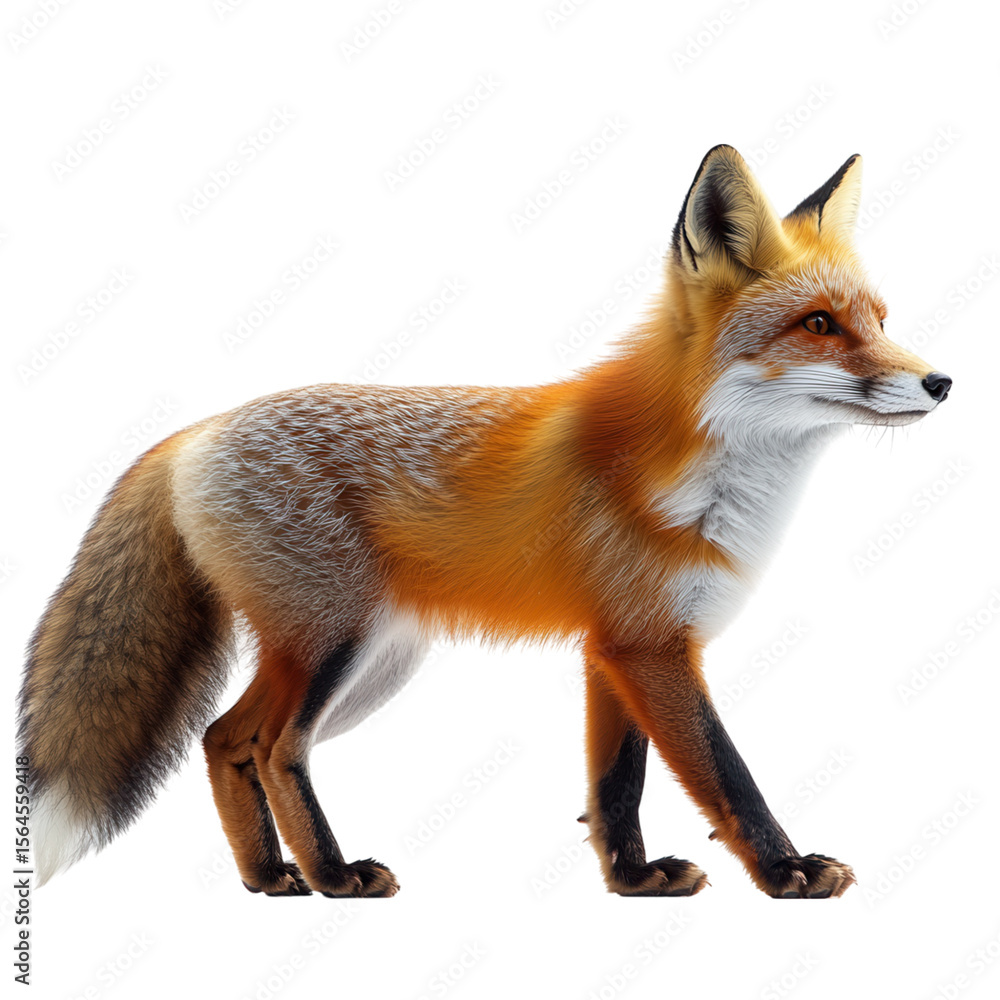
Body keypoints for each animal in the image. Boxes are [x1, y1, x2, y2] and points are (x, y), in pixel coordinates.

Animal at [18, 144, 952, 900]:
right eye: (819, 325)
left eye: (879, 321)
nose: (942, 382)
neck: (704, 471)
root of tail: (197, 431)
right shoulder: (651, 648)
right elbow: (727, 773)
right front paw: (786, 871)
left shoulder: (615, 646)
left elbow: (615, 785)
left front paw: (633, 880)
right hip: (332, 643)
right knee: (276, 747)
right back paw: (332, 876)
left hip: (371, 661)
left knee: (224, 740)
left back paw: (269, 877)